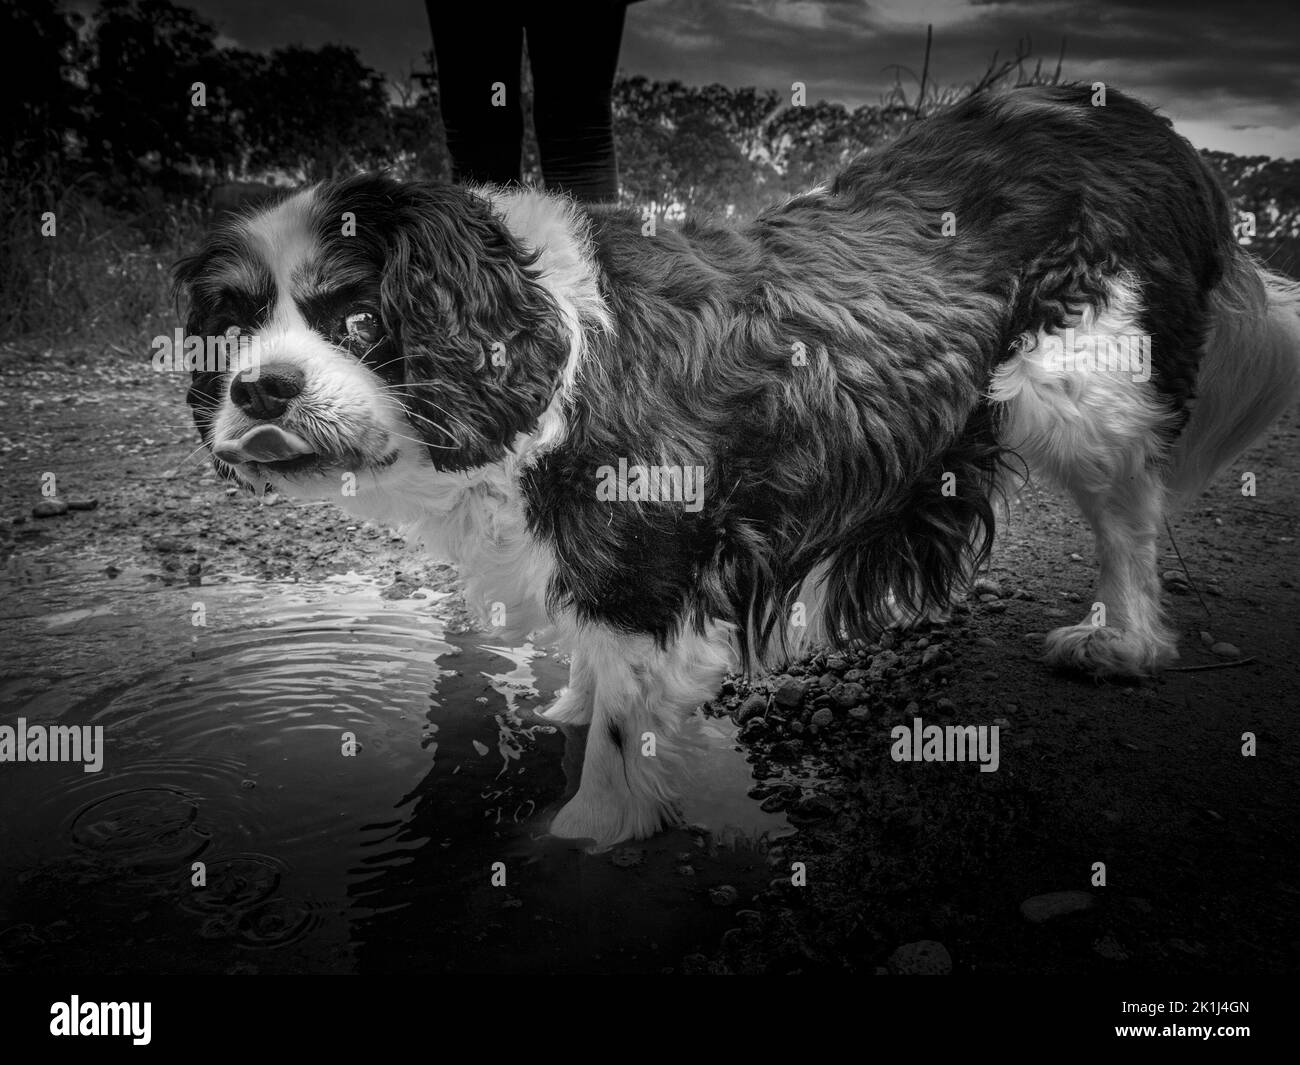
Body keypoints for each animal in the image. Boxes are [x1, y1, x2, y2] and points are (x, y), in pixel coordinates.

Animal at [175, 85, 1300, 847]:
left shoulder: (640, 541)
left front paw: (592, 831)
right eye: (230, 327)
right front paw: (570, 710)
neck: (538, 328)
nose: (261, 389)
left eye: (360, 320)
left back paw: (1123, 639)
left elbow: (625, 713)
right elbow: (592, 662)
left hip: (1083, 384)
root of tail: (1135, 122)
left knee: (1128, 522)